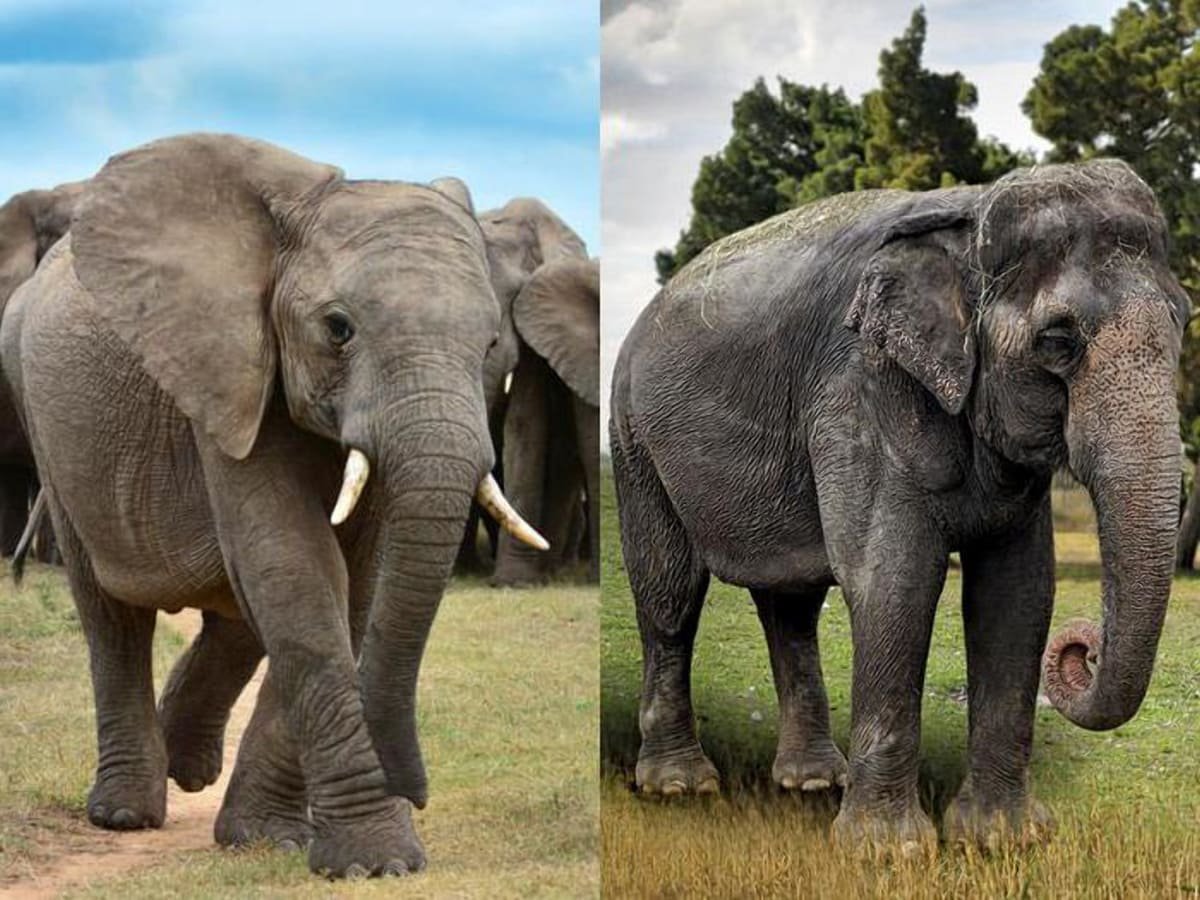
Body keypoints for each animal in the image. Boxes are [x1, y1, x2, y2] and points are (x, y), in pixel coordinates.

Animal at [1, 133, 548, 878]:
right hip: (45, 423)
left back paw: (188, 765)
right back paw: (125, 811)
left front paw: (270, 839)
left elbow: (350, 587)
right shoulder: (225, 372)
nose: (417, 793)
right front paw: (376, 862)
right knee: (112, 615)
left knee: (236, 611)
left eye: (491, 343)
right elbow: (297, 572)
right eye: (338, 329)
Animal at [609, 159, 1188, 853]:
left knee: (792, 604)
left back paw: (811, 781)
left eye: (1184, 323)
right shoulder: (858, 392)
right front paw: (890, 853)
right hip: (635, 440)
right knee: (669, 592)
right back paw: (680, 786)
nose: (1083, 649)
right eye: (1057, 341)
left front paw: (1003, 840)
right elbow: (895, 580)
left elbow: (1018, 591)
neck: (969, 211)